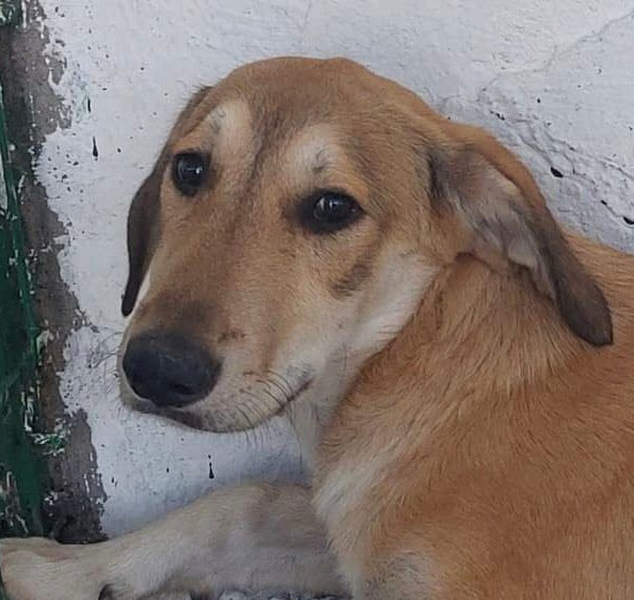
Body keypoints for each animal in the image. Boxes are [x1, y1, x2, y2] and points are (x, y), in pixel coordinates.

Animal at [1, 56, 633, 600]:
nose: (157, 370)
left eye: (333, 207)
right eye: (190, 168)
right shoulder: (348, 538)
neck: (412, 351)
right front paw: (59, 568)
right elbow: (241, 505)